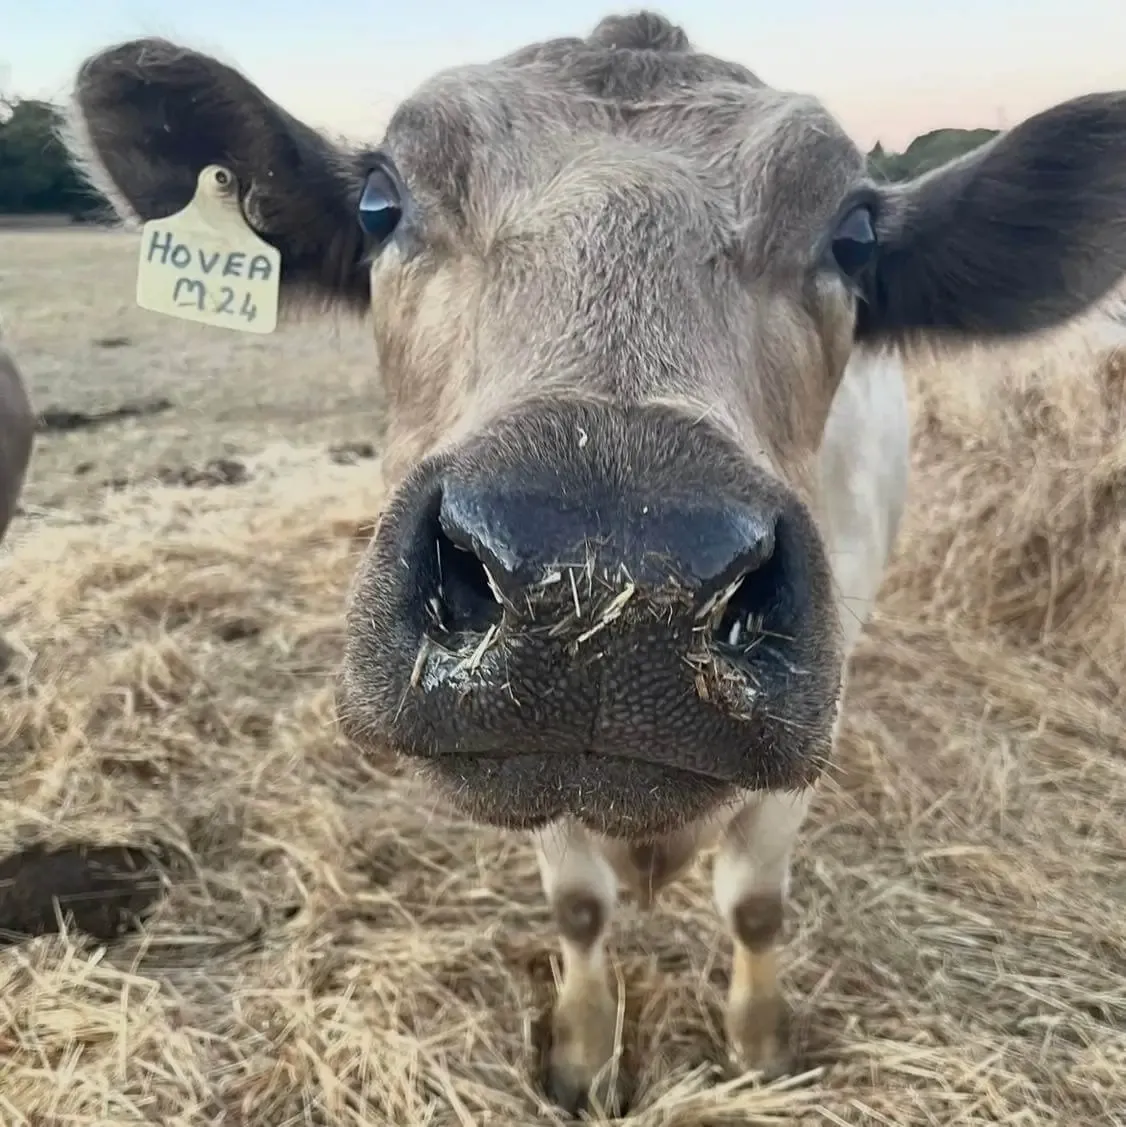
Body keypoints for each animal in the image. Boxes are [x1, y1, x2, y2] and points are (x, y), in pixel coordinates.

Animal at [64, 12, 1126, 1112]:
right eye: (380, 203)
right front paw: (581, 1054)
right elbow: (578, 906)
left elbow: (755, 904)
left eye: (854, 236)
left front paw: (758, 1047)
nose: (610, 582)